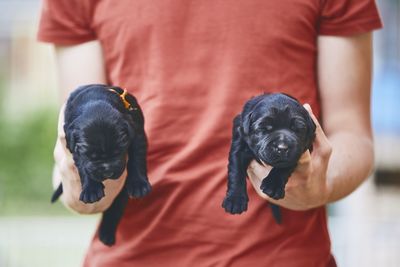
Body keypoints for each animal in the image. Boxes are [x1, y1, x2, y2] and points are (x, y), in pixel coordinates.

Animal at [52, 85, 152, 246]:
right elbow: (84, 168)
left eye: (119, 151)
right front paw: (91, 190)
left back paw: (106, 235)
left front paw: (139, 184)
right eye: (90, 155)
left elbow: (137, 158)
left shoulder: (136, 133)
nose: (107, 170)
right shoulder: (76, 150)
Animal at [222, 93, 316, 223]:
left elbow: (283, 166)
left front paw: (273, 185)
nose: (282, 147)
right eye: (265, 128)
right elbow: (236, 171)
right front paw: (235, 199)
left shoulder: (302, 149)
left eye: (297, 129)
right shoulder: (239, 141)